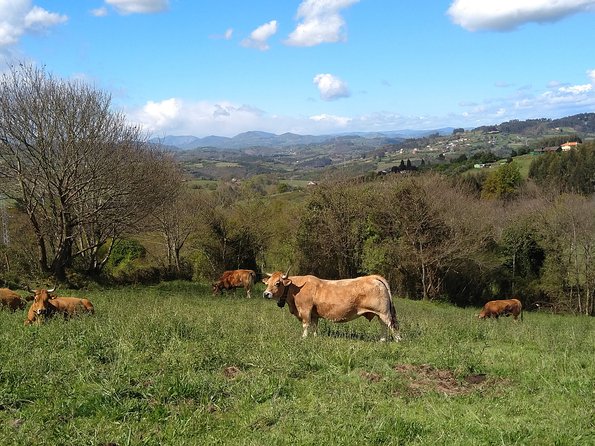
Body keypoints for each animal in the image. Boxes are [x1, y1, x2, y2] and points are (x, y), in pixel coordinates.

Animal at [264, 268, 402, 342]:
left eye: (277, 283)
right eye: (267, 283)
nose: (266, 294)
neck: (295, 289)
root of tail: (373, 277)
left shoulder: (305, 310)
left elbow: (306, 325)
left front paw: (304, 337)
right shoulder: (314, 314)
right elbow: (314, 326)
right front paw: (315, 337)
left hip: (384, 313)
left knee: (392, 326)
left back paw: (397, 341)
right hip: (380, 314)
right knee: (384, 326)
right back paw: (382, 341)